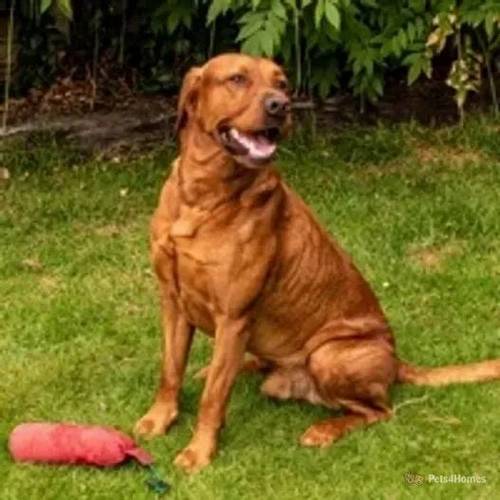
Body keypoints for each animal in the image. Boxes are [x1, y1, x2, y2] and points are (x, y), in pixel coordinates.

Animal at [135, 53, 500, 472]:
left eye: (282, 83)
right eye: (237, 79)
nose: (280, 105)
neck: (202, 197)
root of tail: (396, 362)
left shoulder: (233, 316)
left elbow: (213, 398)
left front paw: (199, 451)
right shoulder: (173, 302)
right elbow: (170, 370)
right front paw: (159, 418)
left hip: (328, 355)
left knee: (379, 411)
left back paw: (325, 429)